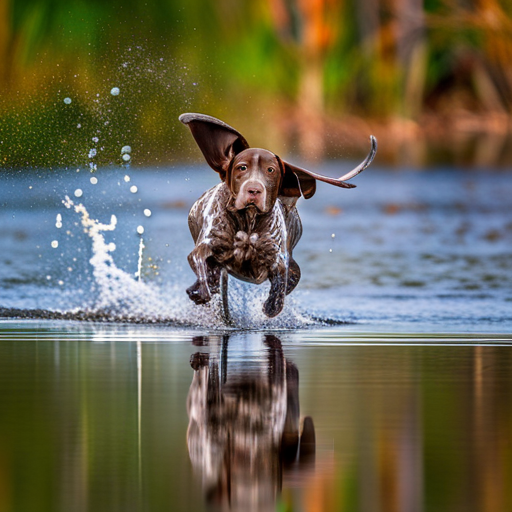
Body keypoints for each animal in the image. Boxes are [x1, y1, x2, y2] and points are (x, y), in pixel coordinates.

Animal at [180, 114, 376, 318]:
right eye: (242, 168)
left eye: (270, 170)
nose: (254, 190)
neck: (248, 223)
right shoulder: (204, 249)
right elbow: (202, 269)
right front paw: (201, 291)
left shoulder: (278, 262)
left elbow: (279, 290)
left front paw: (271, 305)